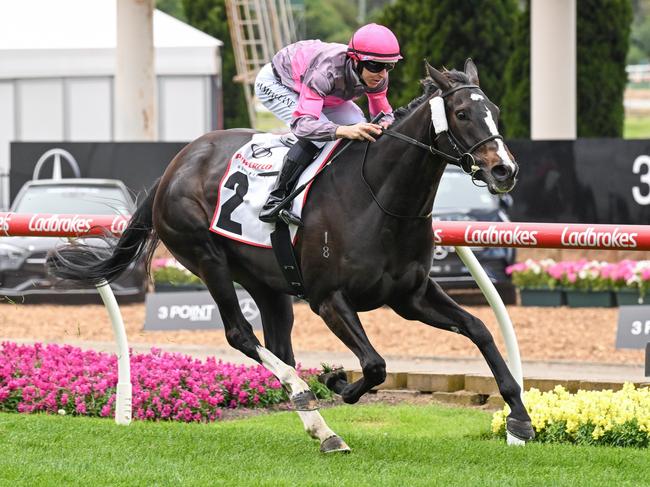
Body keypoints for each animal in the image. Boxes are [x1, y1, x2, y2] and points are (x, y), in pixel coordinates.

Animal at [45, 61, 532, 454]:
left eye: (494, 111)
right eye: (463, 113)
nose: (505, 170)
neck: (379, 197)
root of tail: (173, 167)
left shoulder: (410, 296)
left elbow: (479, 329)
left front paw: (520, 419)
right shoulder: (328, 298)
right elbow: (374, 365)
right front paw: (337, 381)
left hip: (268, 282)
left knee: (279, 347)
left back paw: (322, 429)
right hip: (207, 259)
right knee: (241, 335)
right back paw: (306, 396)